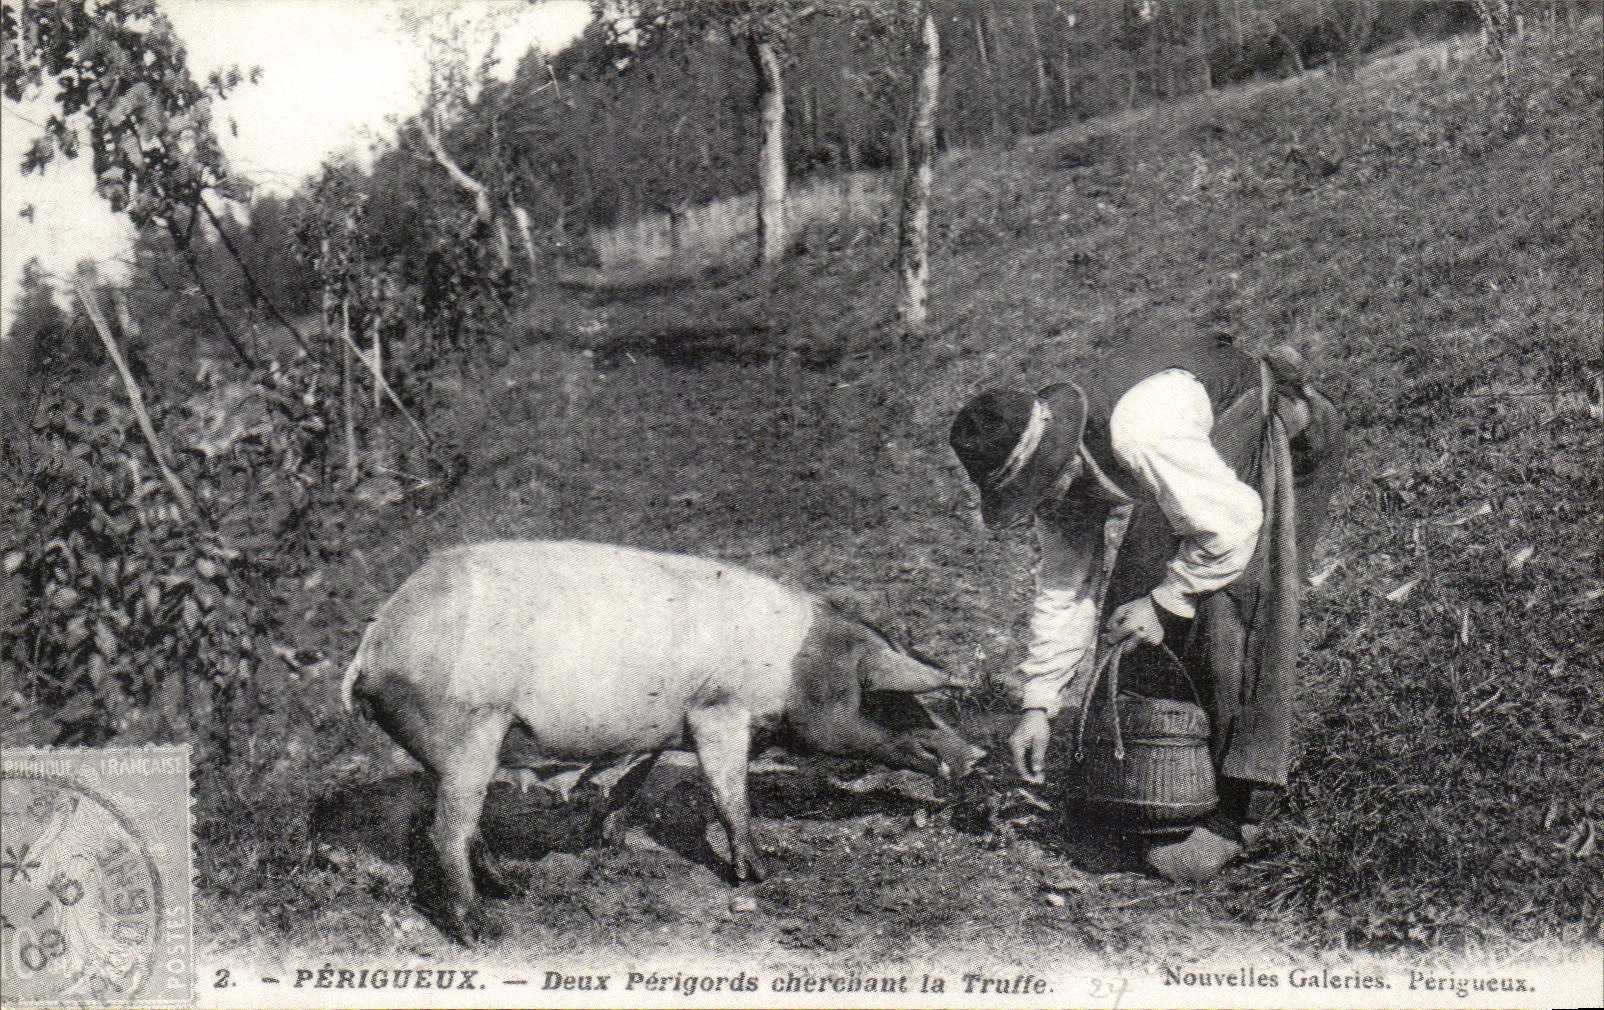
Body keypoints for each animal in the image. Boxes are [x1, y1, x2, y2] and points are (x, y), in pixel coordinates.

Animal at [341, 540, 983, 943]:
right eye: (881, 697)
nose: (974, 755)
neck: (792, 668)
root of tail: (372, 647)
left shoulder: (658, 732)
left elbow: (630, 783)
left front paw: (607, 839)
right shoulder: (717, 709)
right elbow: (729, 793)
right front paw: (761, 876)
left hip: (453, 748)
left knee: (460, 825)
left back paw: (515, 890)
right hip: (469, 730)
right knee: (447, 830)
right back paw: (485, 932)